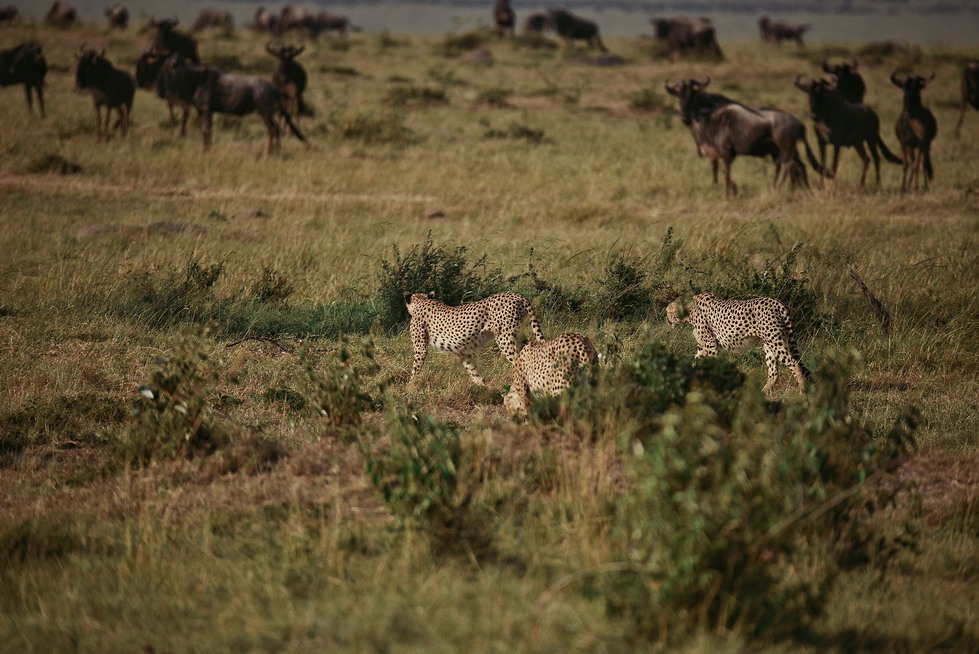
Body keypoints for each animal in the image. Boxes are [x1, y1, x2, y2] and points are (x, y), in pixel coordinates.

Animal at [404, 290, 548, 386]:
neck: (422, 302)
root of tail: (516, 295)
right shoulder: (463, 352)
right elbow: (472, 369)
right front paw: (483, 386)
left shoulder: (420, 348)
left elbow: (415, 369)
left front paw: (409, 388)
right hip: (519, 336)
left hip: (505, 338)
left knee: (519, 362)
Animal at [668, 76, 828, 195]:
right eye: (678, 96)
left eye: (692, 96)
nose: (684, 116)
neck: (711, 119)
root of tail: (799, 123)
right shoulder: (717, 153)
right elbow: (719, 170)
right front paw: (725, 188)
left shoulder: (725, 152)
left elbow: (724, 171)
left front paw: (728, 192)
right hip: (787, 150)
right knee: (799, 166)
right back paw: (799, 189)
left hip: (785, 149)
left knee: (789, 165)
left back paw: (780, 188)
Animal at [668, 294, 812, 394]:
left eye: (668, 312)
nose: (667, 319)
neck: (689, 311)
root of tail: (778, 302)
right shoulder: (703, 346)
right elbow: (696, 362)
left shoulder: (711, 344)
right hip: (770, 344)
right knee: (774, 372)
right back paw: (761, 394)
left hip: (775, 342)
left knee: (794, 364)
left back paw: (803, 392)